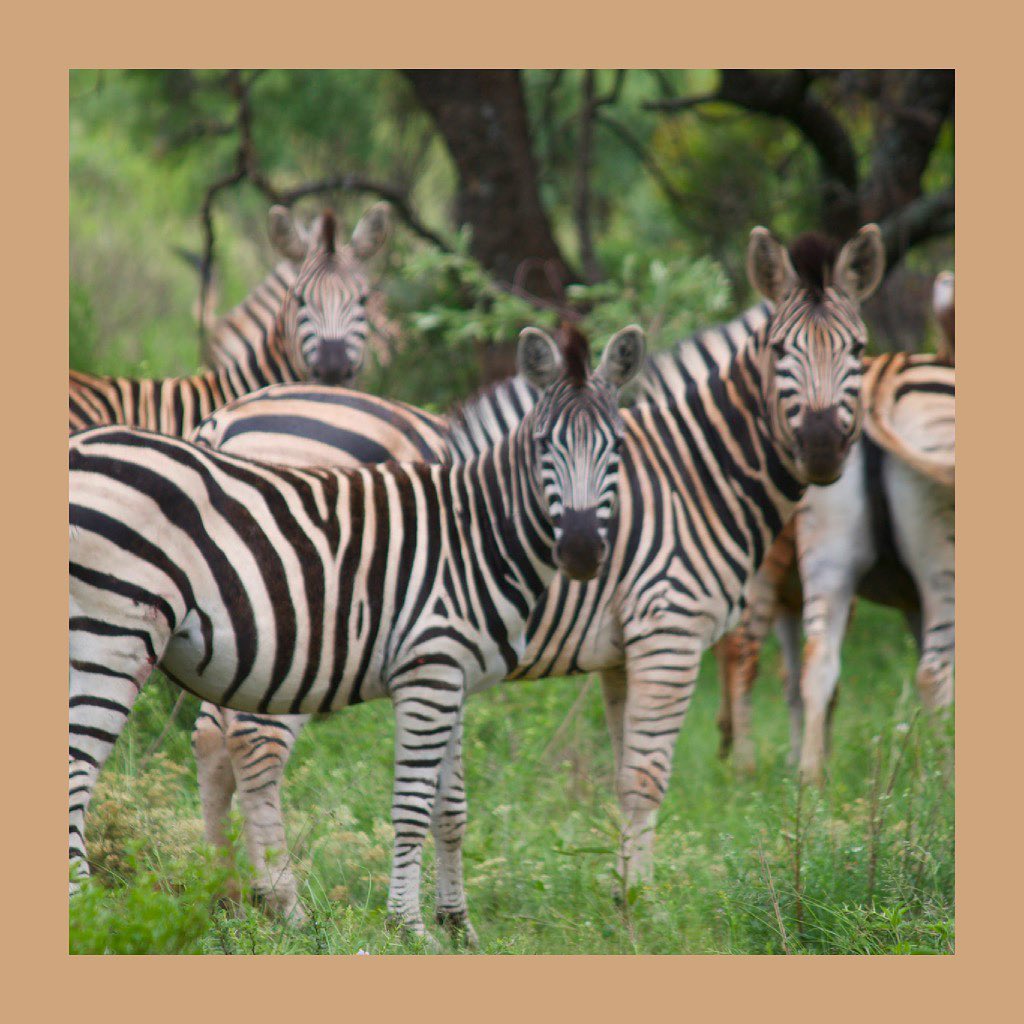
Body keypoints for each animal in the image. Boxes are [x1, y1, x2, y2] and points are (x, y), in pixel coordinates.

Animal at [69, 324, 645, 946]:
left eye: (616, 447)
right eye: (543, 445)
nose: (583, 551)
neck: (476, 532)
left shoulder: (455, 677)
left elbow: (451, 809)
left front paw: (458, 928)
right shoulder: (428, 672)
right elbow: (412, 806)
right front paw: (408, 929)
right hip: (113, 632)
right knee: (78, 769)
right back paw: (86, 913)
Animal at [183, 224, 886, 901]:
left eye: (857, 351)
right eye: (781, 351)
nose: (822, 446)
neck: (692, 472)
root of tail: (226, 420)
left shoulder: (622, 652)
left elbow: (621, 771)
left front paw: (626, 896)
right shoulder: (669, 630)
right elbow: (646, 778)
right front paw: (645, 907)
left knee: (214, 737)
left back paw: (226, 895)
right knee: (255, 742)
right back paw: (285, 904)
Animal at [714, 350, 955, 781]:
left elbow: (794, 677)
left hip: (821, 565)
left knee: (802, 663)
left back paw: (799, 780)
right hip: (937, 568)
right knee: (932, 672)